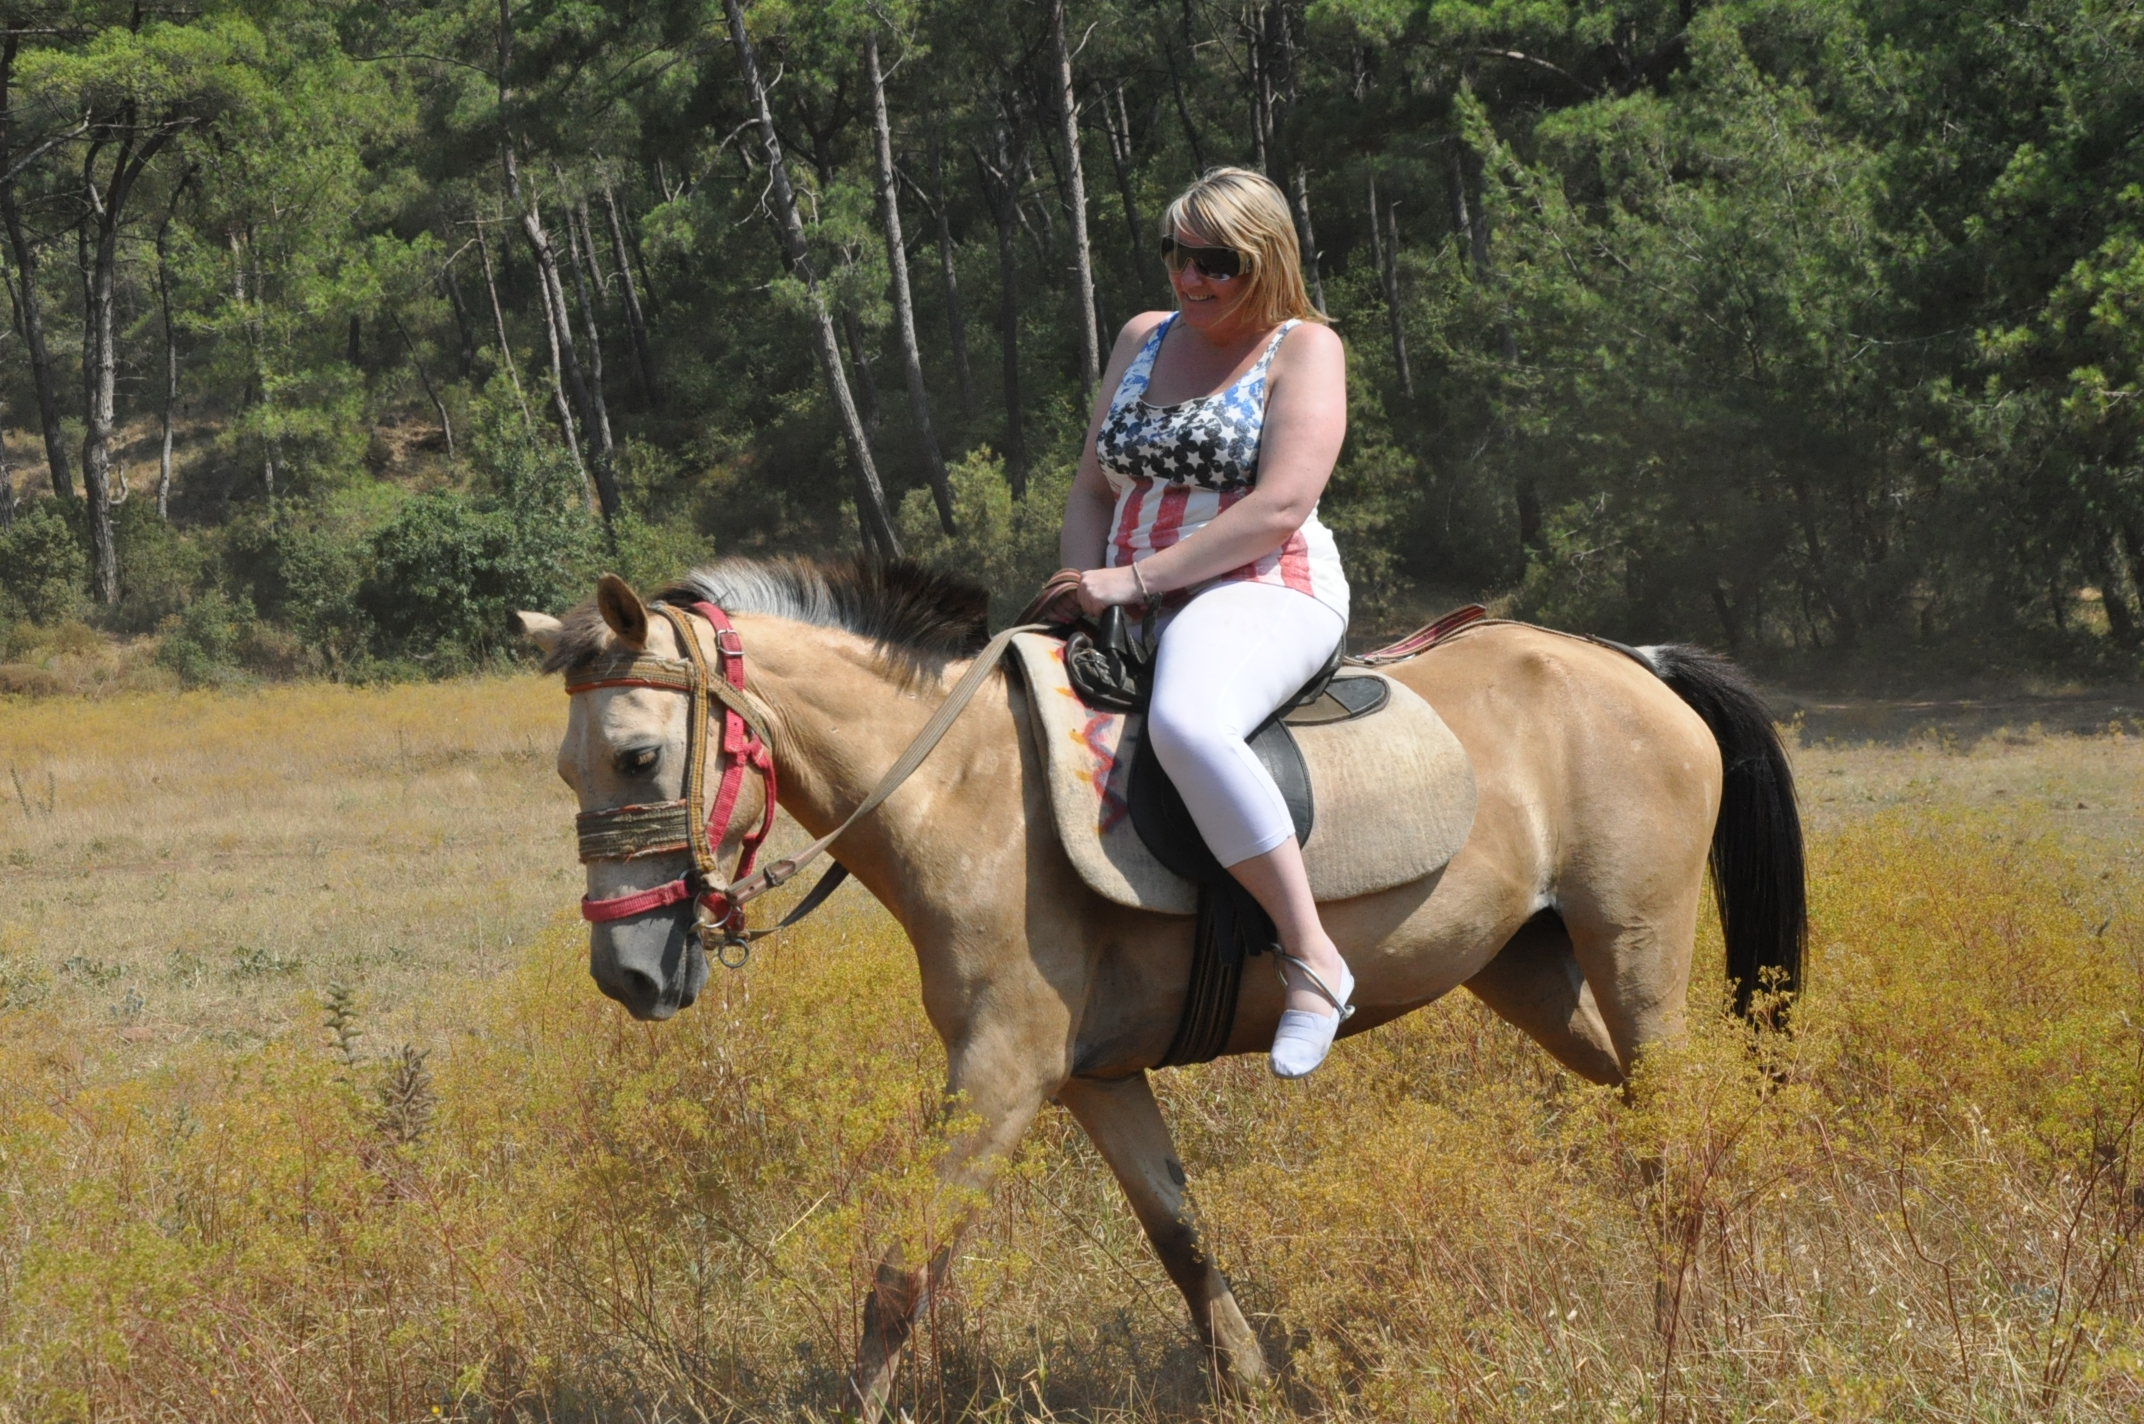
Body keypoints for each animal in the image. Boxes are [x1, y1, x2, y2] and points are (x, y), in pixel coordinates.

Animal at [515, 555, 1804, 1420]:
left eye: (638, 754)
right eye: (570, 767)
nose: (627, 971)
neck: (963, 786)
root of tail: (1635, 664)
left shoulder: (1001, 1072)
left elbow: (900, 1271)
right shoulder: (1094, 1076)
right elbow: (1180, 1237)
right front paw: (1253, 1385)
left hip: (1632, 948)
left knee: (1680, 1133)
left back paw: (1683, 1336)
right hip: (1530, 968)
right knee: (1668, 1126)